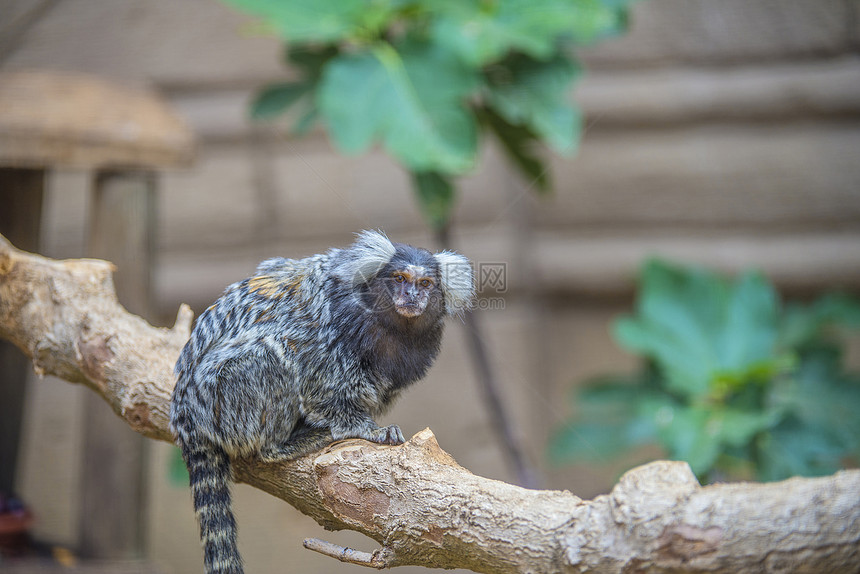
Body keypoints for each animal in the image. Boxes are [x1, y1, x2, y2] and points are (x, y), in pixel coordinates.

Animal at [170, 231, 474, 574]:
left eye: (425, 284)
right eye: (400, 279)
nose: (411, 296)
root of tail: (186, 419)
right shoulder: (327, 329)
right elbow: (312, 375)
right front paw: (365, 428)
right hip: (223, 398)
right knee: (268, 354)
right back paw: (282, 445)